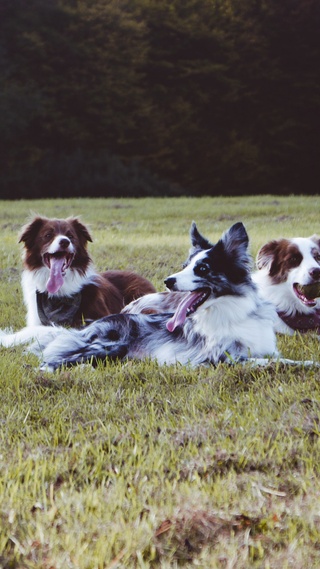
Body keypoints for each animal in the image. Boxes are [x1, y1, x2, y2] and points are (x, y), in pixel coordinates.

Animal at [26, 220, 278, 370]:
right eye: (185, 266)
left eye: (202, 268)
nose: (168, 281)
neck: (230, 313)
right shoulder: (219, 359)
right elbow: (279, 363)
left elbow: (275, 359)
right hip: (108, 346)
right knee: (49, 363)